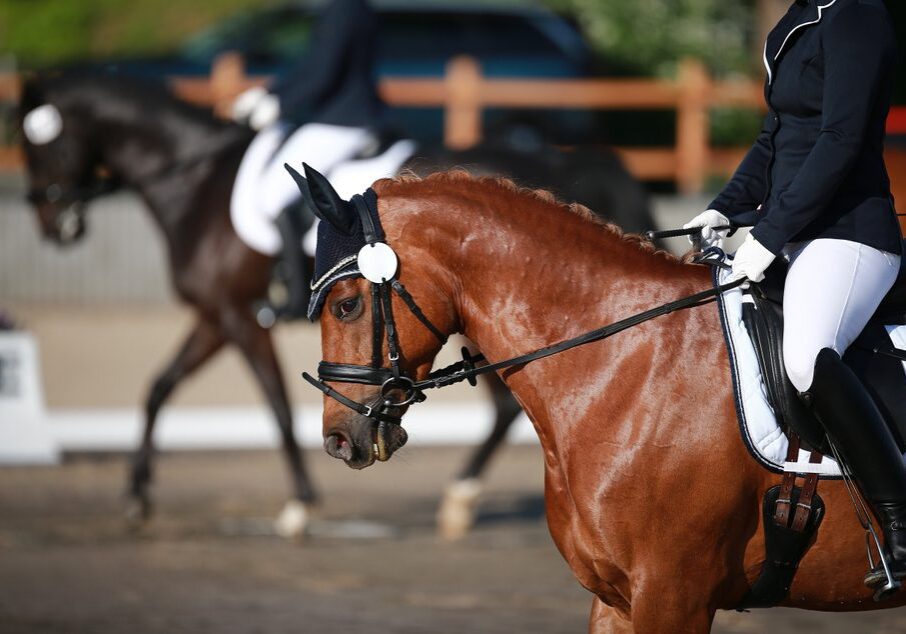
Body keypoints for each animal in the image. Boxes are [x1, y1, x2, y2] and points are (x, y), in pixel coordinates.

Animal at [17, 70, 653, 538]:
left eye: (33, 144)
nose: (53, 225)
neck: (197, 179)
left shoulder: (235, 316)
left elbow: (274, 405)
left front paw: (299, 506)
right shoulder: (216, 317)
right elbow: (159, 388)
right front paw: (136, 497)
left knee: (502, 407)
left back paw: (459, 496)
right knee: (503, 409)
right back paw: (460, 499)